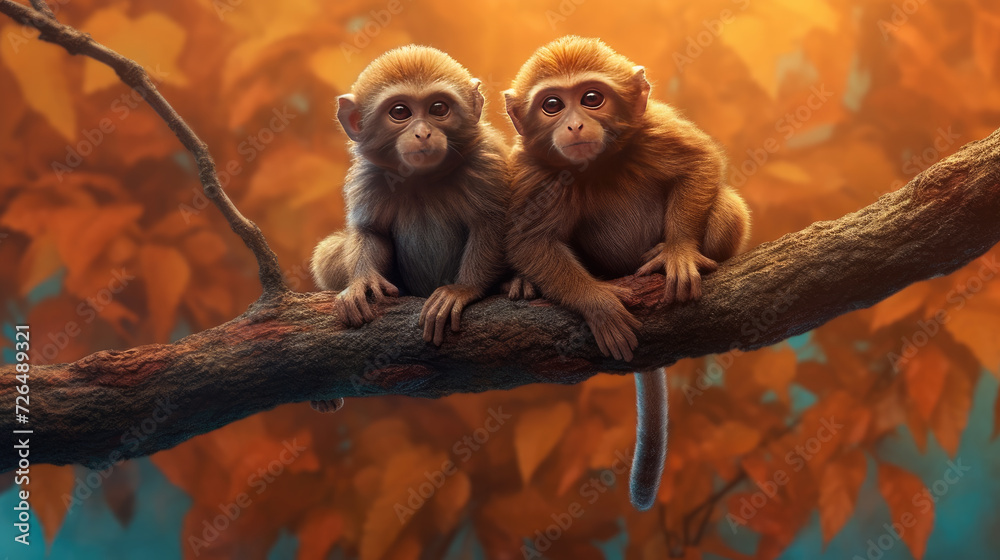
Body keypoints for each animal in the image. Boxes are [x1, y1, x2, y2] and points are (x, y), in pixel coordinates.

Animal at [309, 45, 509, 410]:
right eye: (400, 112)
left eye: (439, 108)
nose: (423, 133)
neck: (423, 178)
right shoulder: (370, 176)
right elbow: (371, 232)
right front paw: (362, 282)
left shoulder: (485, 161)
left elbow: (492, 221)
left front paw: (463, 289)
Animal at [503, 36, 750, 510]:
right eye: (552, 105)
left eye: (591, 99)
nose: (575, 125)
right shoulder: (531, 171)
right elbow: (528, 240)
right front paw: (599, 304)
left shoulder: (655, 129)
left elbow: (700, 163)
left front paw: (678, 252)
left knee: (726, 210)